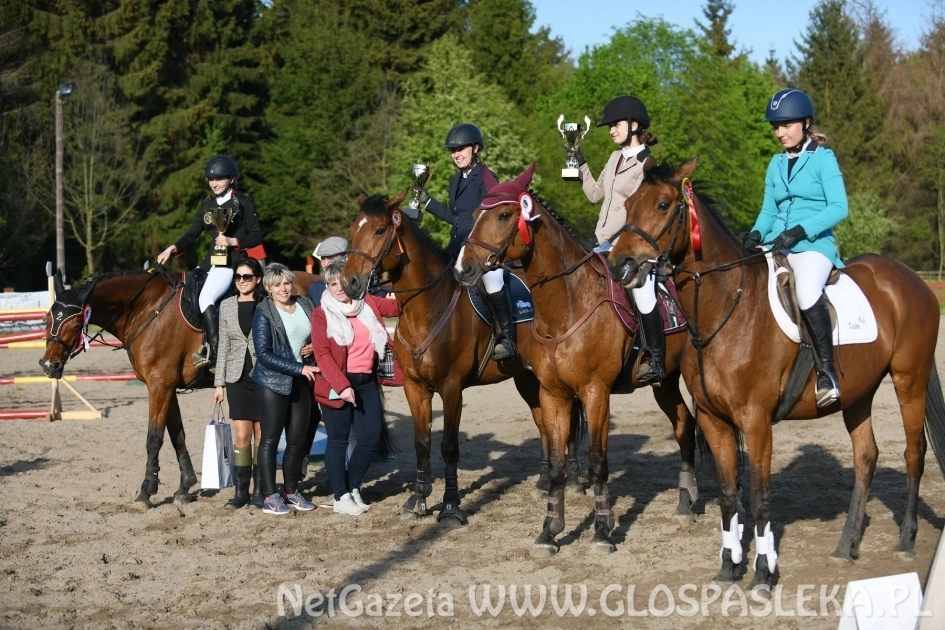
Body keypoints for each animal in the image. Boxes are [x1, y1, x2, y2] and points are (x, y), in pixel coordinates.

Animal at [41, 268, 205, 508]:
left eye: (76, 325)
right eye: (47, 319)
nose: (48, 366)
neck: (150, 310)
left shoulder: (160, 384)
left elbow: (154, 438)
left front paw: (146, 491)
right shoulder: (167, 386)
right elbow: (177, 435)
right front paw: (185, 487)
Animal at [332, 191, 584, 528]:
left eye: (380, 230)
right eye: (353, 228)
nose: (349, 283)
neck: (428, 307)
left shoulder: (451, 388)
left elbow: (449, 447)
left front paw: (451, 507)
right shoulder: (415, 388)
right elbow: (422, 443)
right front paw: (418, 500)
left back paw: (575, 481)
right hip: (528, 378)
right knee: (545, 424)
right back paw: (545, 482)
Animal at [454, 168, 696, 556]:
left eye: (504, 215)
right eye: (477, 214)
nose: (463, 267)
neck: (568, 304)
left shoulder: (596, 393)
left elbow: (598, 463)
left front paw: (601, 532)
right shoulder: (553, 394)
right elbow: (556, 466)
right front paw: (549, 532)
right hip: (665, 383)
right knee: (685, 426)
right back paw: (686, 502)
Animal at [604, 159, 944, 592]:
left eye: (663, 204)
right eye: (628, 203)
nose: (620, 265)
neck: (726, 310)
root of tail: (911, 279)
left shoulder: (756, 422)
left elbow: (760, 498)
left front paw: (763, 573)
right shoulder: (714, 421)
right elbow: (728, 493)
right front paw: (729, 566)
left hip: (908, 381)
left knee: (913, 454)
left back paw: (905, 540)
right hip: (859, 393)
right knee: (866, 458)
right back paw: (846, 545)